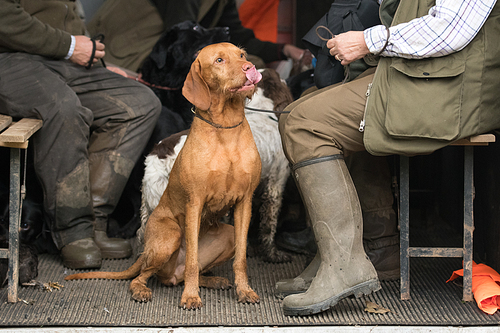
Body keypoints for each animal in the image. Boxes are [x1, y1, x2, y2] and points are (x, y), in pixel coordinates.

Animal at [64, 42, 264, 308]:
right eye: (219, 60)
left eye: (241, 54)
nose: (250, 67)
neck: (226, 128)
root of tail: (146, 250)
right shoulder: (194, 203)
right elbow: (191, 261)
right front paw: (190, 296)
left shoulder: (244, 203)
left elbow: (240, 258)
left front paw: (244, 290)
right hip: (170, 236)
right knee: (144, 275)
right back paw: (143, 289)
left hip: (227, 234)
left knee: (181, 275)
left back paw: (212, 280)